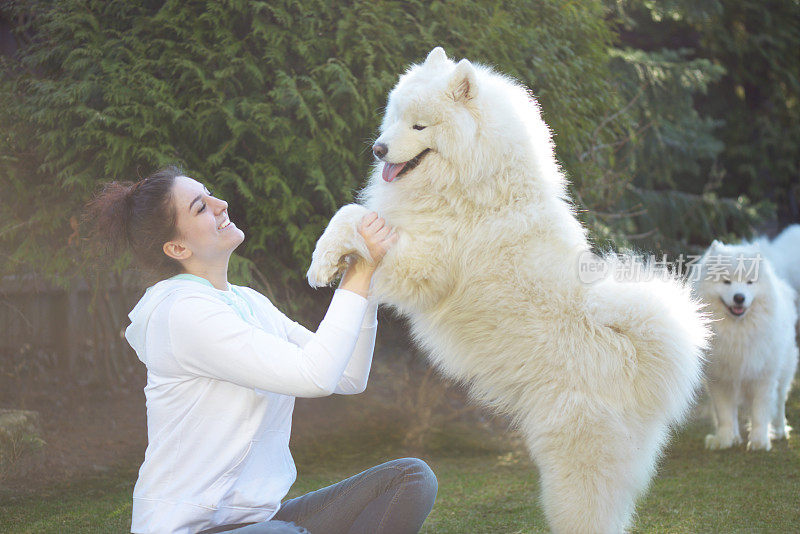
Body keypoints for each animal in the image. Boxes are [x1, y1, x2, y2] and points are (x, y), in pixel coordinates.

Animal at [306, 47, 708, 534]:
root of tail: (639, 354)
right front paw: (328, 263)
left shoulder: (426, 263)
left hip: (574, 462)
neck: (476, 185)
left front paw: (321, 264)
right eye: (395, 117)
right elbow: (348, 219)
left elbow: (349, 214)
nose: (378, 148)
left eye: (420, 126)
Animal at [692, 243, 796, 452]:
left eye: (750, 282)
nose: (739, 297)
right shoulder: (720, 378)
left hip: (784, 372)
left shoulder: (763, 377)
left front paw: (759, 442)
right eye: (726, 282)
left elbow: (760, 413)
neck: (737, 332)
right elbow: (724, 413)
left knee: (780, 403)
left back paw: (779, 431)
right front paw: (724, 440)